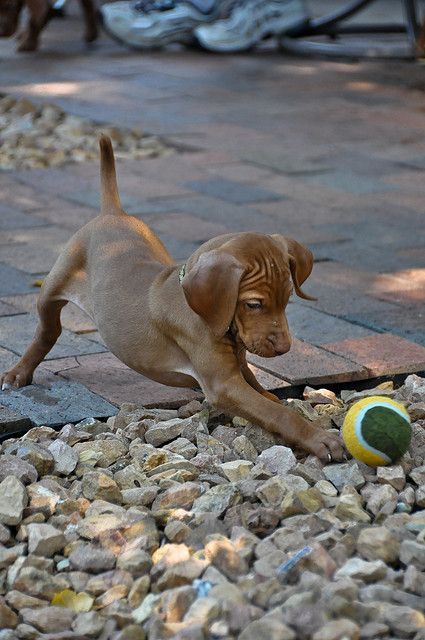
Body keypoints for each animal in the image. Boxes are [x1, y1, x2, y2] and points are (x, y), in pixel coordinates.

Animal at [0, 136, 344, 464]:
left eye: (287, 299)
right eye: (254, 304)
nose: (285, 348)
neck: (209, 316)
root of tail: (112, 213)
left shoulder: (237, 364)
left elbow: (263, 394)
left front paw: (283, 403)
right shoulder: (222, 383)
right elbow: (276, 413)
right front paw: (318, 438)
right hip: (53, 285)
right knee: (48, 330)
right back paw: (18, 373)